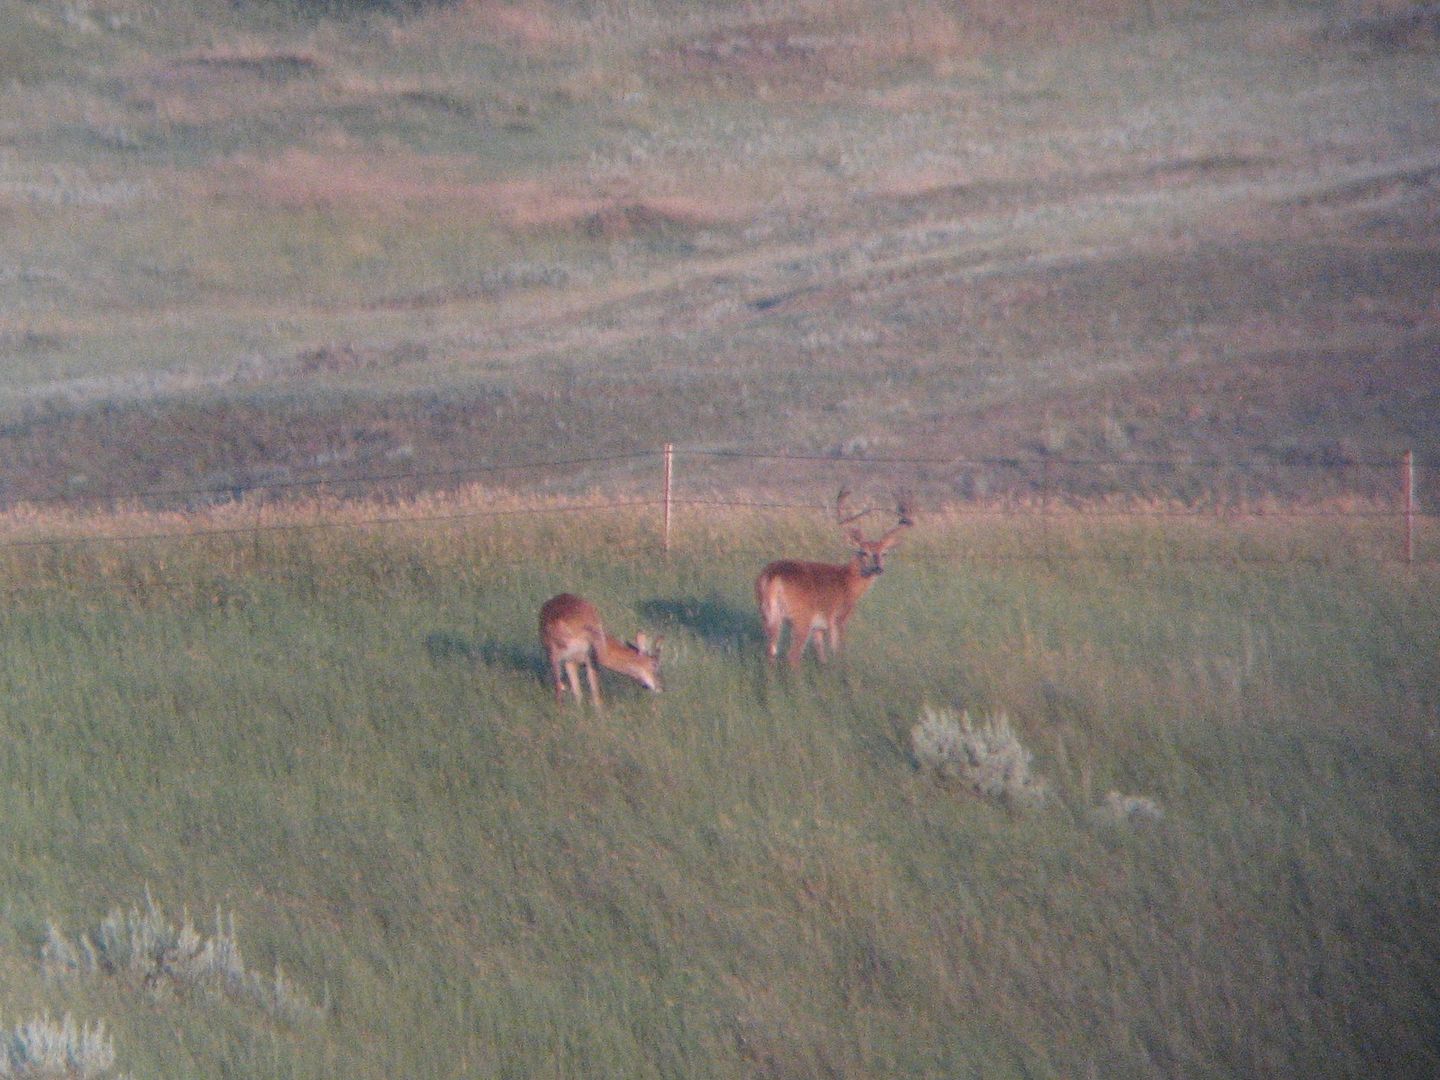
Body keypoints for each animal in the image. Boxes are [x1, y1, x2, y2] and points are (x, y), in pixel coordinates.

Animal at [754, 492, 910, 668]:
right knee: (792, 656)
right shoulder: (838, 618)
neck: (849, 582)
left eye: (884, 553)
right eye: (864, 552)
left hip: (767, 613)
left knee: (770, 652)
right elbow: (838, 650)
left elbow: (821, 653)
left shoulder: (819, 627)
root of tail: (773, 575)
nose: (878, 568)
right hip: (801, 616)